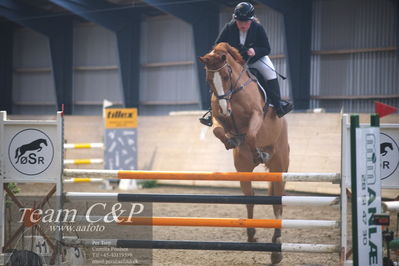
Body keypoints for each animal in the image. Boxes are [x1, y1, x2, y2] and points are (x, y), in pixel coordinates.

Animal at [200, 41, 290, 264]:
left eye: (226, 76)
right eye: (209, 80)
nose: (225, 109)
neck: (233, 93)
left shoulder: (256, 114)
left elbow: (250, 134)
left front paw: (258, 151)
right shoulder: (218, 117)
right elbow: (217, 130)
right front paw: (231, 141)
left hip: (279, 166)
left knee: (278, 203)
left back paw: (276, 249)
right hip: (243, 169)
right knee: (250, 197)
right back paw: (251, 234)